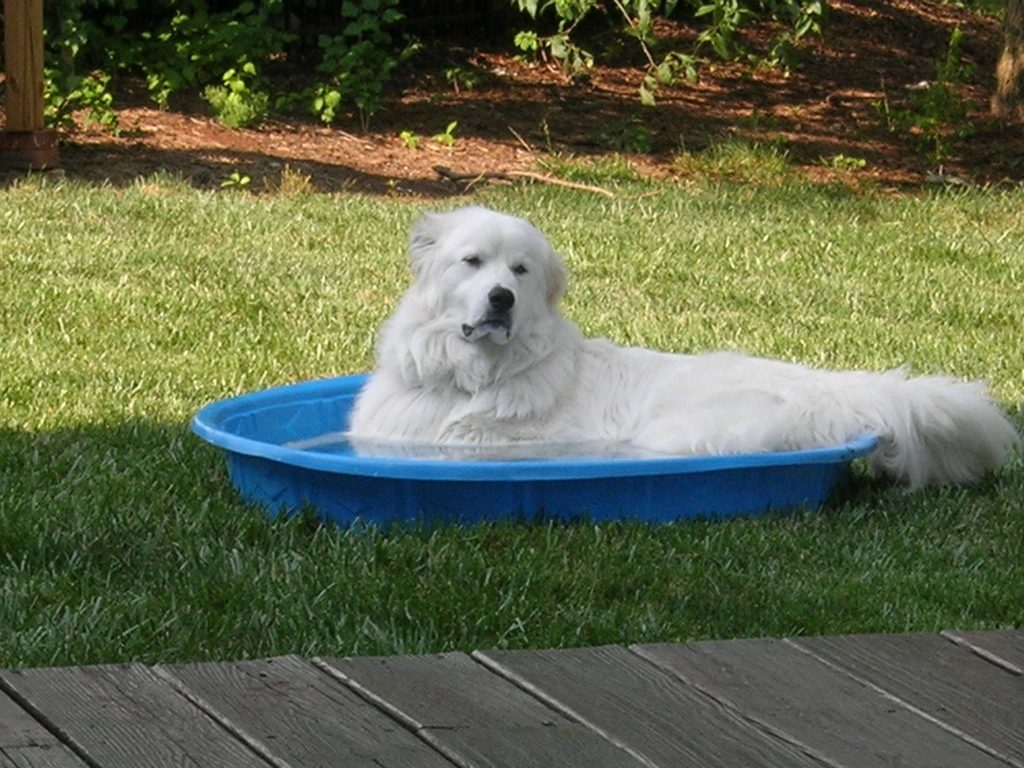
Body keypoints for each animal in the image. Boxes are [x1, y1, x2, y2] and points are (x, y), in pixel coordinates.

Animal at [348, 205, 1019, 487]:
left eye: (520, 271)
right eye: (473, 262)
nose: (501, 300)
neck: (471, 376)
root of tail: (826, 383)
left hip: (677, 433)